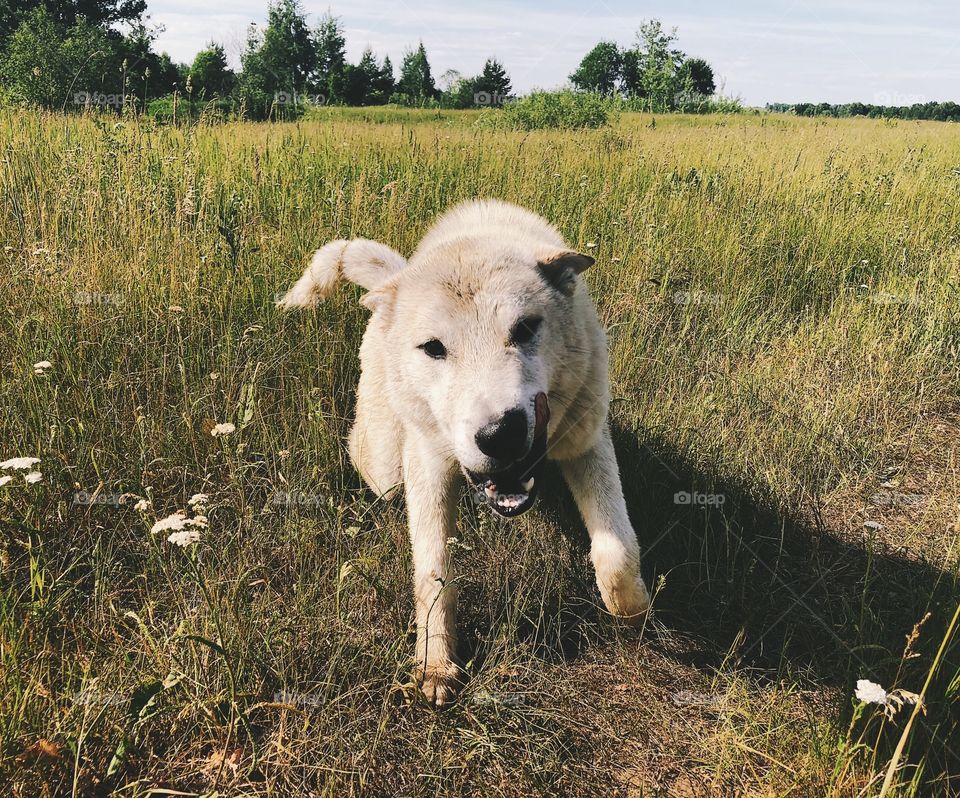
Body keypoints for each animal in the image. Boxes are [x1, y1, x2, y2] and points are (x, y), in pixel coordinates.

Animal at [280, 200, 652, 708]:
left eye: (525, 328)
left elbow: (616, 549)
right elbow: (434, 576)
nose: (500, 435)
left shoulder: (587, 440)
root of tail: (392, 283)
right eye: (434, 348)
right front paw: (436, 667)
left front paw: (632, 610)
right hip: (387, 470)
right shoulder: (430, 468)